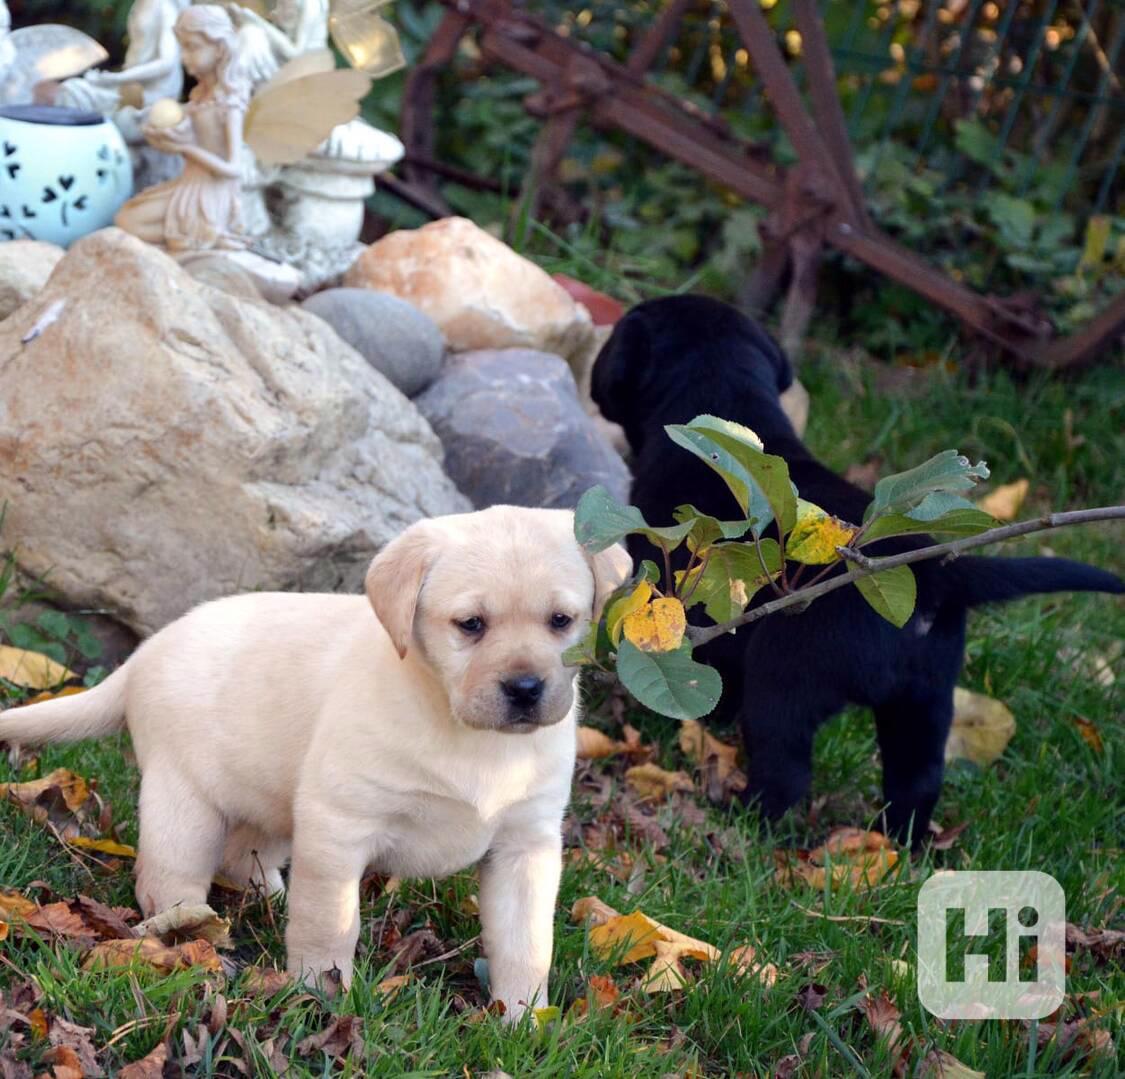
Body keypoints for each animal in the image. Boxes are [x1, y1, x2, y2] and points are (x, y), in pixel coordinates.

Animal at [0, 506, 634, 1021]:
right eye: (471, 625)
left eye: (561, 621)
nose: (526, 689)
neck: (466, 733)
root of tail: (141, 654)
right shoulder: (339, 825)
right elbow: (330, 923)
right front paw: (318, 995)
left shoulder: (526, 846)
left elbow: (526, 945)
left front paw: (524, 1021)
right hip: (185, 800)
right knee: (170, 878)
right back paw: (191, 931)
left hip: (276, 801)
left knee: (245, 855)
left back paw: (270, 898)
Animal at [594, 294, 1120, 846]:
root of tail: (937, 575)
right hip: (925, 700)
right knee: (917, 777)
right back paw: (901, 842)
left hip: (785, 678)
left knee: (785, 765)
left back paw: (748, 818)